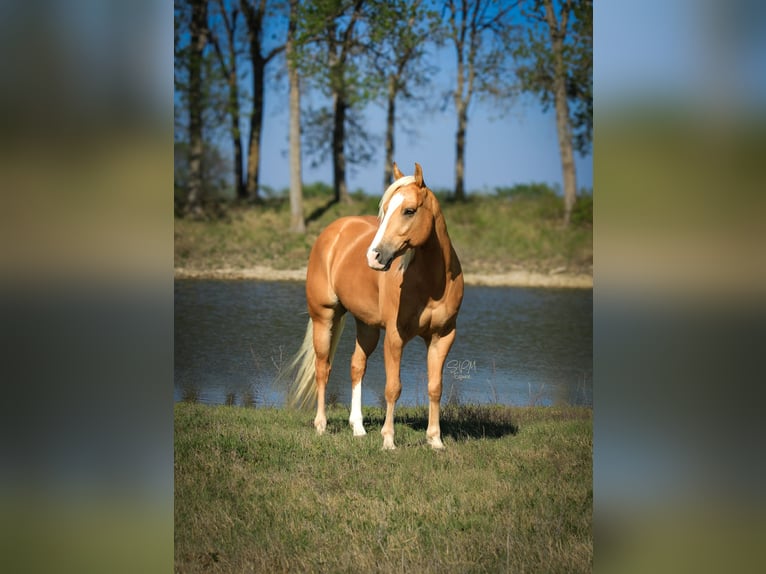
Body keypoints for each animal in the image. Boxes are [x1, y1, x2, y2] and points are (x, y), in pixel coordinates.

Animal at [286, 162, 464, 449]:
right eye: (386, 208)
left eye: (409, 210)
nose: (374, 256)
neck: (432, 283)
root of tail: (334, 231)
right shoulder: (395, 337)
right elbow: (393, 387)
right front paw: (388, 440)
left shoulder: (443, 336)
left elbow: (435, 387)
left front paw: (435, 440)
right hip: (324, 317)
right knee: (323, 368)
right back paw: (321, 425)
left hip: (366, 326)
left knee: (356, 365)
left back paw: (358, 427)